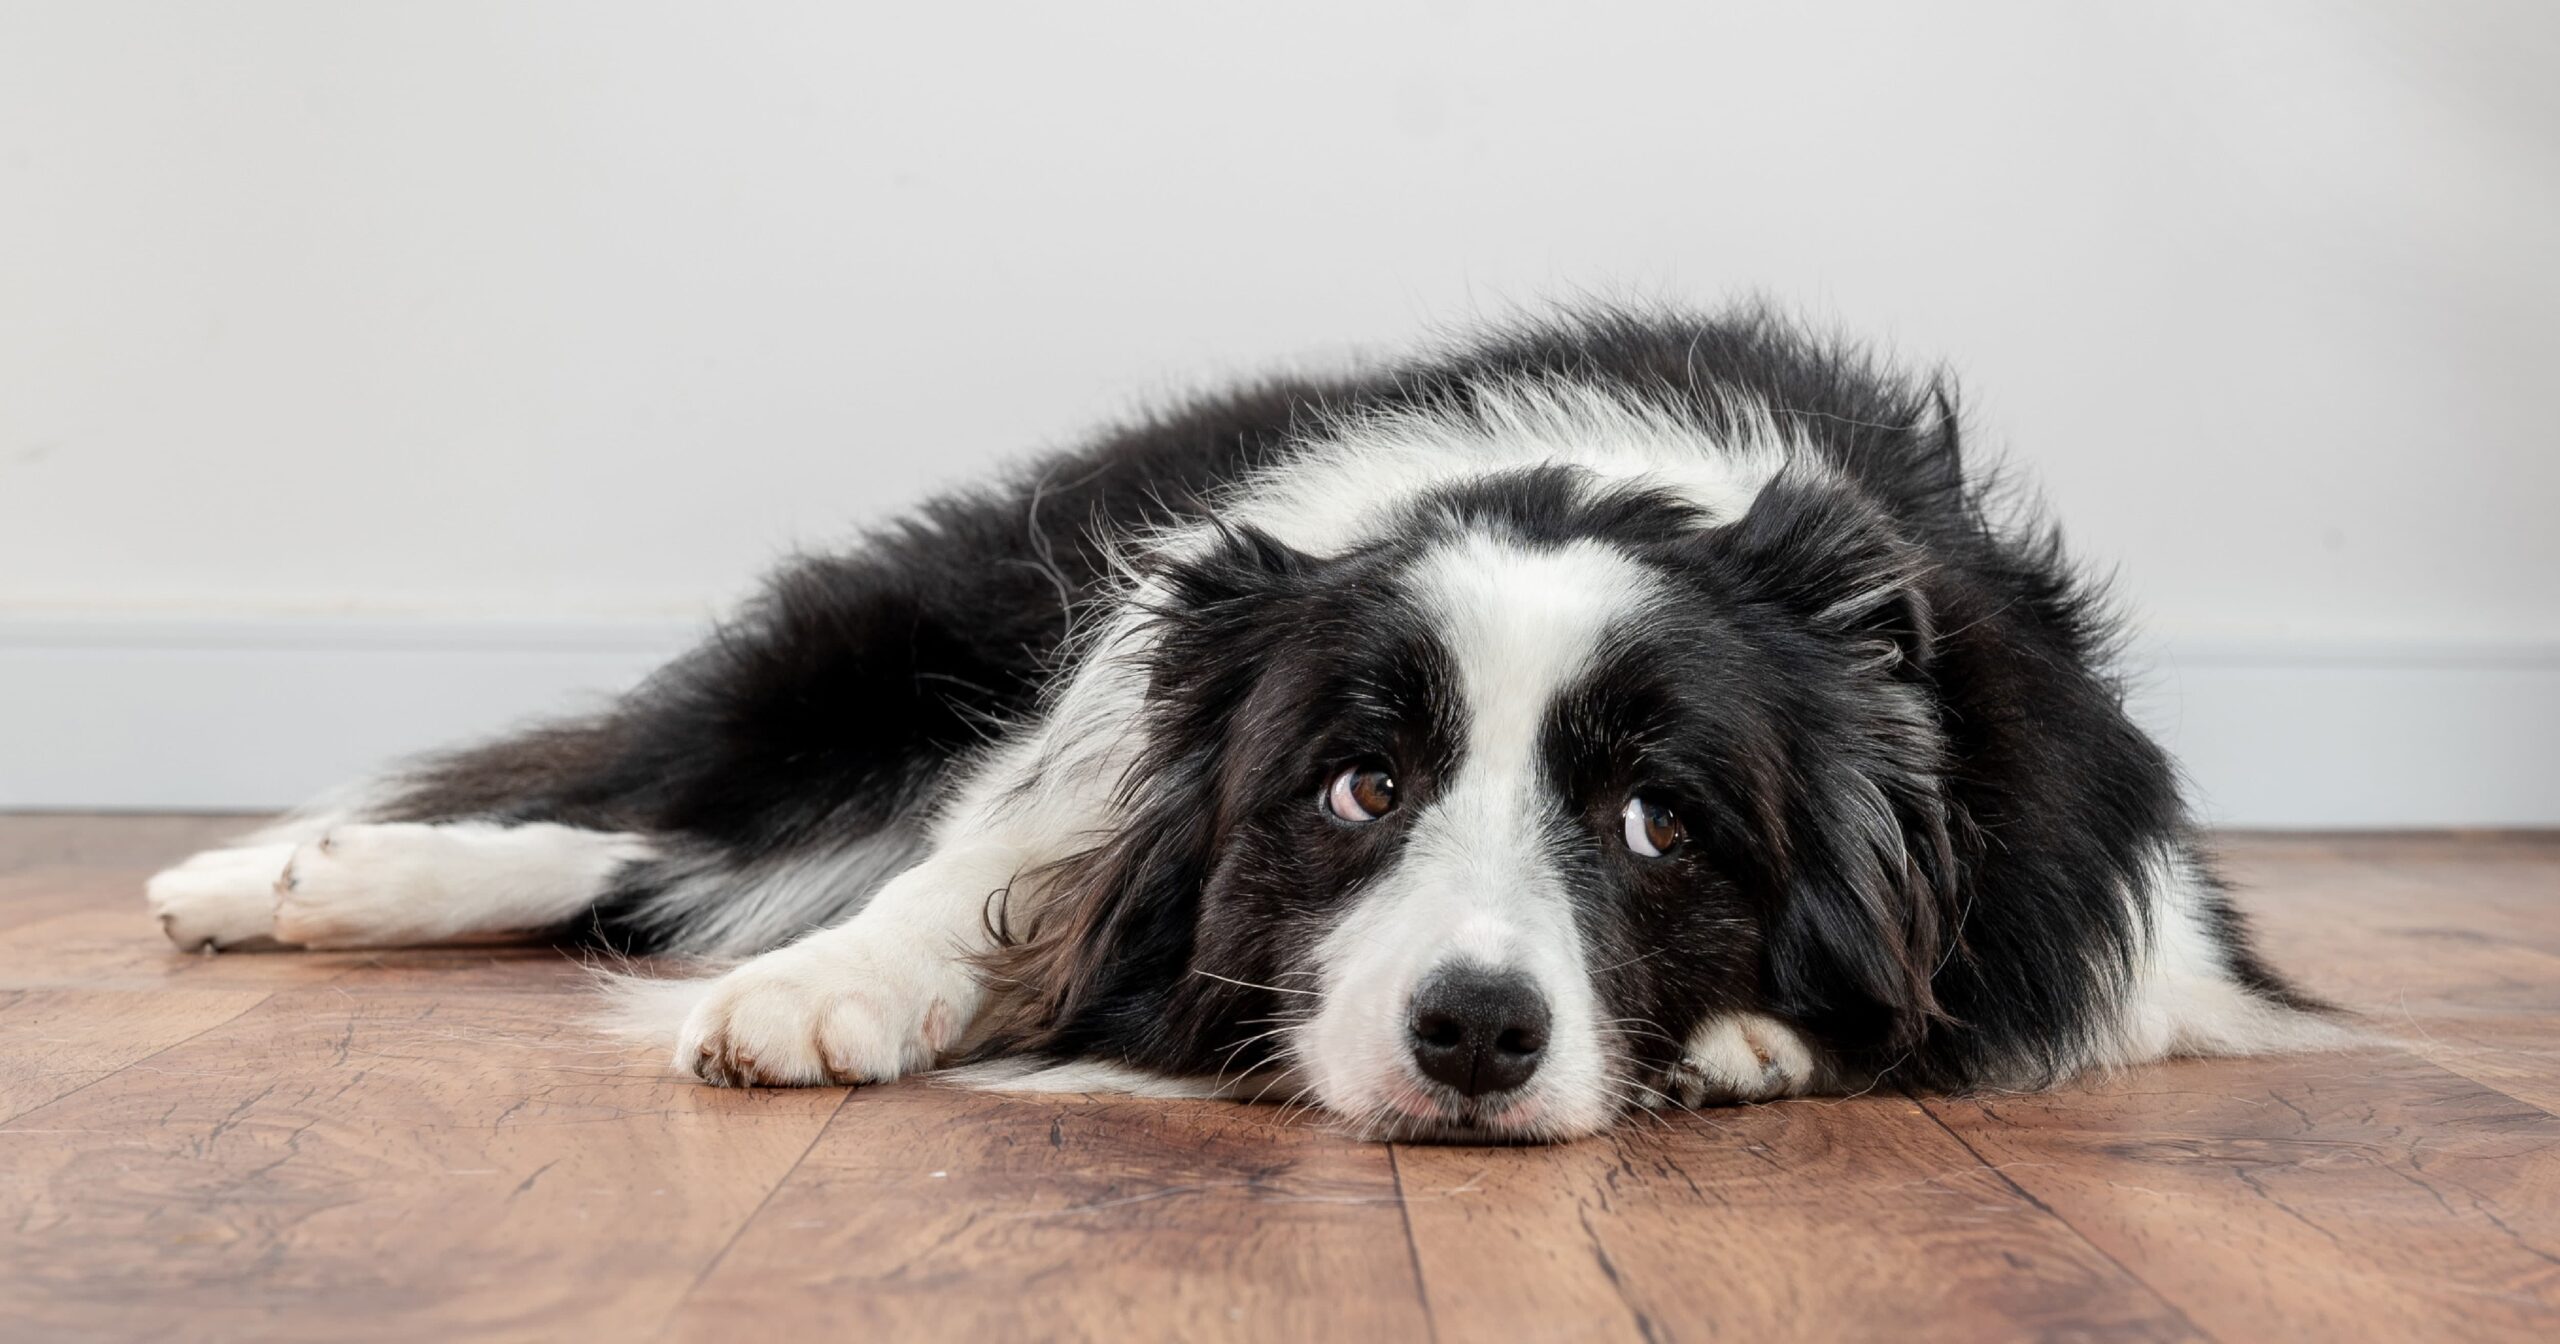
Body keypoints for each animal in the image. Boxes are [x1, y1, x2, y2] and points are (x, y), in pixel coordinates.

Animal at [140, 309, 2344, 1136]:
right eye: (1358, 785)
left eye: (1663, 823)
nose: (1476, 1036)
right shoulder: (1110, 704)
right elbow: (971, 878)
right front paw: (820, 995)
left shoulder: (2131, 924)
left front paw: (1740, 1040)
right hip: (897, 645)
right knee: (640, 818)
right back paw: (270, 880)